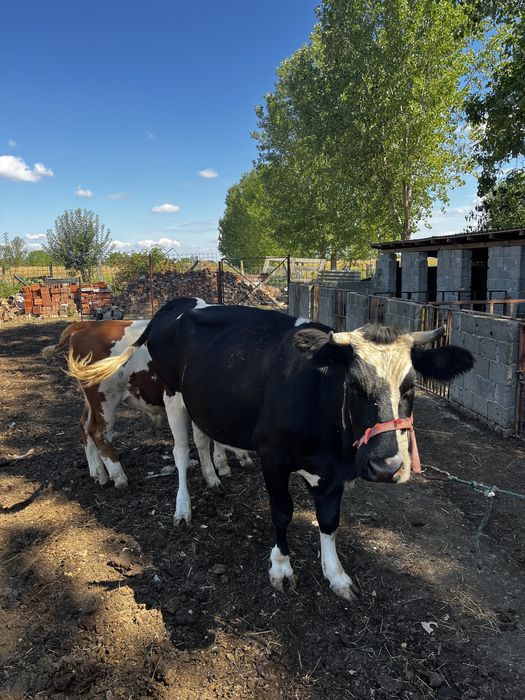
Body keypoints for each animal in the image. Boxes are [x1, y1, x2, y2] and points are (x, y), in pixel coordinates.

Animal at [42, 300, 252, 512]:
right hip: (104, 398)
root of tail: (86, 325)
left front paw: (225, 463)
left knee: (84, 426)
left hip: (91, 400)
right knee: (98, 432)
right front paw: (218, 471)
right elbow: (204, 438)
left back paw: (98, 472)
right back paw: (118, 476)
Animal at [68, 302, 474, 600]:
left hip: (203, 402)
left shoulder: (336, 471)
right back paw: (179, 506)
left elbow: (330, 521)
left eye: (410, 388)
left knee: (200, 440)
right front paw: (281, 567)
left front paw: (336, 574)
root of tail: (177, 304)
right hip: (171, 395)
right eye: (355, 386)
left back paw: (212, 477)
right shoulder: (273, 457)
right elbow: (282, 513)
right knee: (180, 453)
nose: (387, 467)